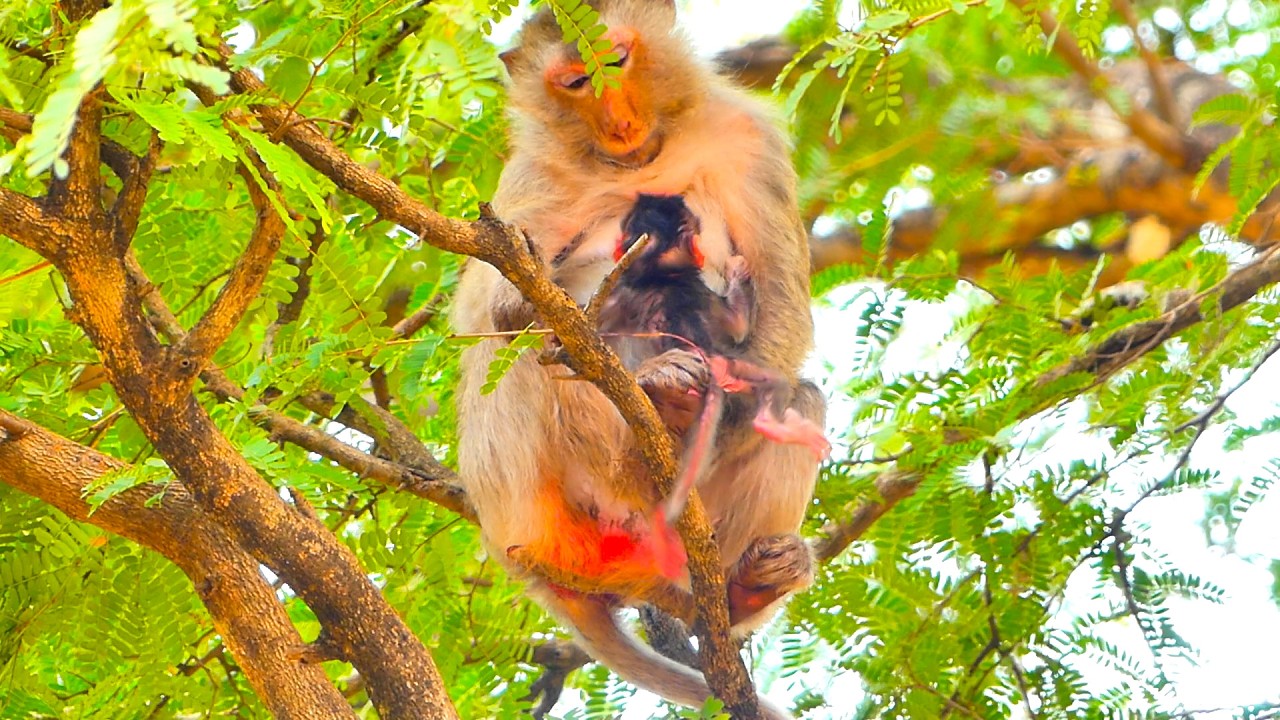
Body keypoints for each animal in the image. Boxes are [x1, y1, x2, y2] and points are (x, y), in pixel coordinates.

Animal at [451, 1, 825, 716]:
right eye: (576, 83)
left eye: (616, 62)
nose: (618, 122)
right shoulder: (531, 177)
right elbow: (498, 308)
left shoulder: (750, 142)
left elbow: (779, 306)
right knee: (531, 353)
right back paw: (655, 422)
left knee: (798, 400)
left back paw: (744, 586)